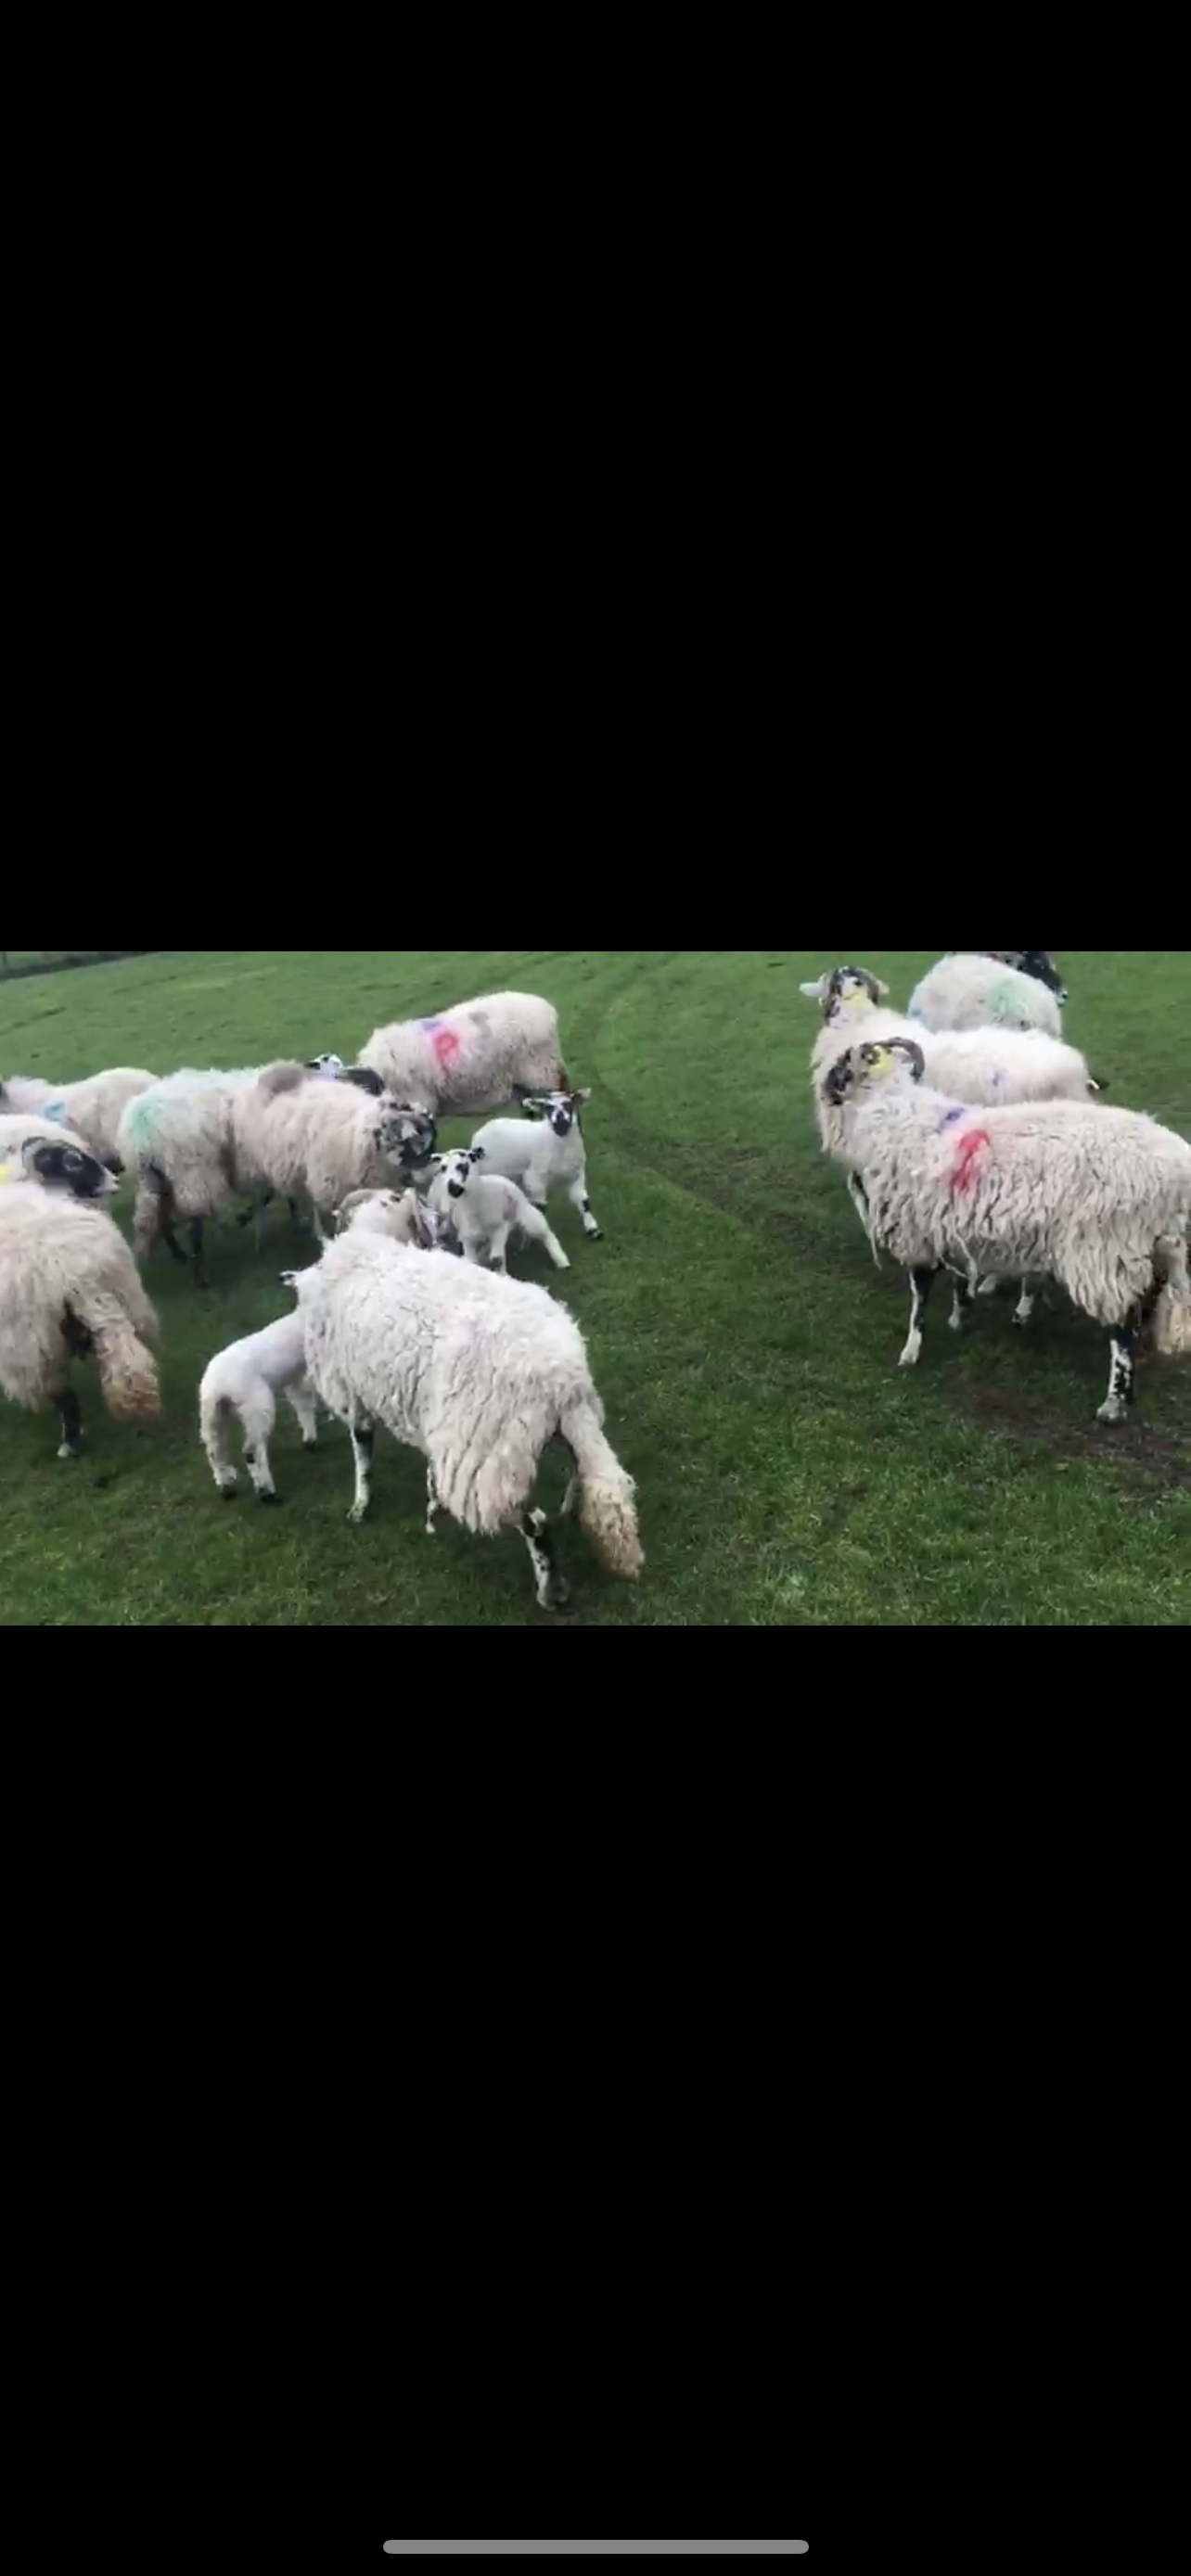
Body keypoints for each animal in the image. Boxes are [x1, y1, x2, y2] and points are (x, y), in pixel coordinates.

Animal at [0, 1155, 161, 1457]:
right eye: (72, 1162)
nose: (115, 1180)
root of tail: (75, 1273)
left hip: (31, 1343)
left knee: (62, 1395)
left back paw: (69, 1444)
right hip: (124, 1294)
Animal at [289, 1230, 643, 1608]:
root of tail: (562, 1380)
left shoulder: (352, 1395)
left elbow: (362, 1457)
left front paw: (360, 1506)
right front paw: (430, 1504)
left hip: (488, 1462)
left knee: (535, 1522)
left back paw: (551, 1591)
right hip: (560, 1428)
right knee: (590, 1474)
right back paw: (572, 1511)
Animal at [425, 1148, 571, 1273]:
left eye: (463, 1165)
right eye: (443, 1168)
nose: (453, 1188)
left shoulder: (500, 1228)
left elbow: (498, 1258)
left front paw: (503, 1276)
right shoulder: (468, 1237)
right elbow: (474, 1260)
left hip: (527, 1216)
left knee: (547, 1234)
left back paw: (562, 1261)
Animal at [469, 1090, 603, 1243]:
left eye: (568, 1104)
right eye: (547, 1107)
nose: (560, 1124)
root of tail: (480, 1131)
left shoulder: (577, 1175)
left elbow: (583, 1201)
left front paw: (593, 1230)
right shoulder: (535, 1178)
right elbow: (541, 1207)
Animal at [820, 1036, 1191, 1423]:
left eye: (842, 1066)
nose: (826, 1092)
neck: (892, 1115)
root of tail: (1180, 1166)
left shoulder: (917, 1233)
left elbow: (919, 1298)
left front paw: (911, 1352)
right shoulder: (951, 1229)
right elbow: (958, 1282)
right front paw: (960, 1318)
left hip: (1106, 1250)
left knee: (1123, 1330)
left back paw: (1114, 1404)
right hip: (1150, 1246)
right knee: (1148, 1302)